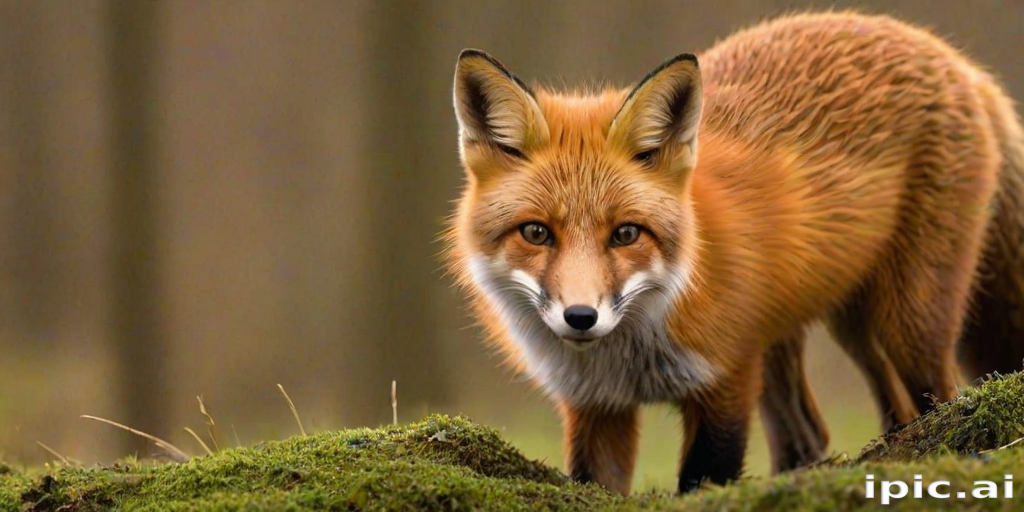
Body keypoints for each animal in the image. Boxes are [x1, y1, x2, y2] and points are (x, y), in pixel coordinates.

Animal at [443, 10, 1024, 496]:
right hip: (837, 326)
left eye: (626, 234)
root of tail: (952, 58)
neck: (632, 352)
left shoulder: (727, 379)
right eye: (537, 233)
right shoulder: (597, 408)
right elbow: (596, 482)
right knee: (828, 431)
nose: (581, 317)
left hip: (905, 320)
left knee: (938, 397)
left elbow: (703, 479)